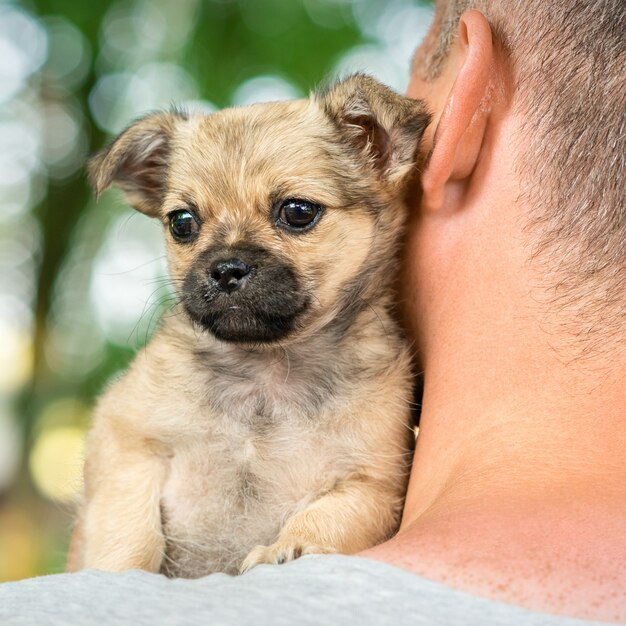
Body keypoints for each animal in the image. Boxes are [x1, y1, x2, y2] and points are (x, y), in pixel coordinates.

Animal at [72, 73, 424, 576]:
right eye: (182, 222)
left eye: (297, 211)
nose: (225, 268)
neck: (266, 372)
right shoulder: (126, 441)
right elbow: (129, 525)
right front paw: (120, 569)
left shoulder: (374, 483)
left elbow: (328, 517)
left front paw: (287, 547)